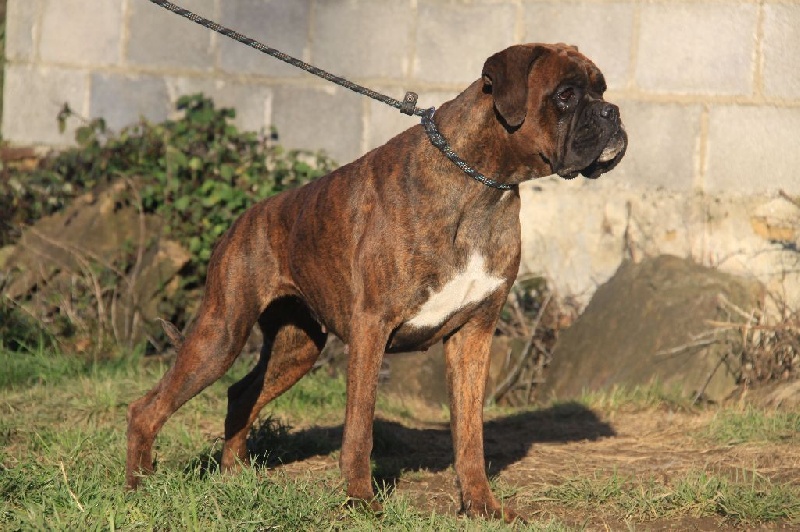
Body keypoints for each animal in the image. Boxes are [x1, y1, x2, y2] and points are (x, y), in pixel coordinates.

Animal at [125, 42, 624, 520]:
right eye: (566, 95)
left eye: (601, 88)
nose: (612, 112)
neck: (482, 184)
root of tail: (243, 219)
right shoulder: (371, 328)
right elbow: (360, 427)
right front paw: (361, 500)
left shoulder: (473, 336)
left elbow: (470, 436)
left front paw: (481, 506)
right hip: (221, 334)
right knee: (147, 409)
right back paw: (137, 487)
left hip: (296, 349)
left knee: (240, 395)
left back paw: (234, 477)